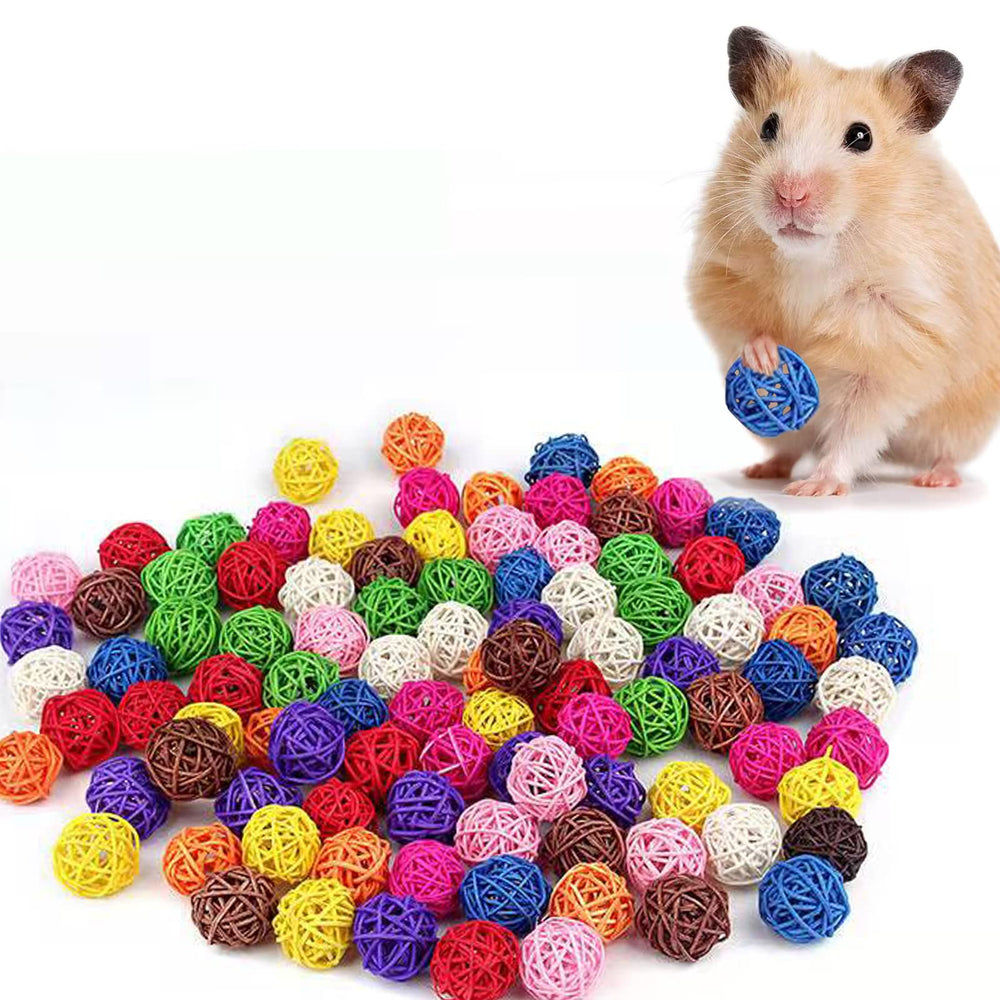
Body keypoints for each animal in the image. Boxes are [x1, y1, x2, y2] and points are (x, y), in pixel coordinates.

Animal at [688, 27, 1000, 496]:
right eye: (768, 126)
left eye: (861, 136)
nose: (791, 194)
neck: (814, 257)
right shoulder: (721, 275)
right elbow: (743, 327)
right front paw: (766, 359)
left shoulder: (893, 343)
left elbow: (857, 425)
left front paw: (815, 488)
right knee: (790, 445)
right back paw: (762, 470)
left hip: (962, 422)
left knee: (944, 451)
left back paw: (934, 479)